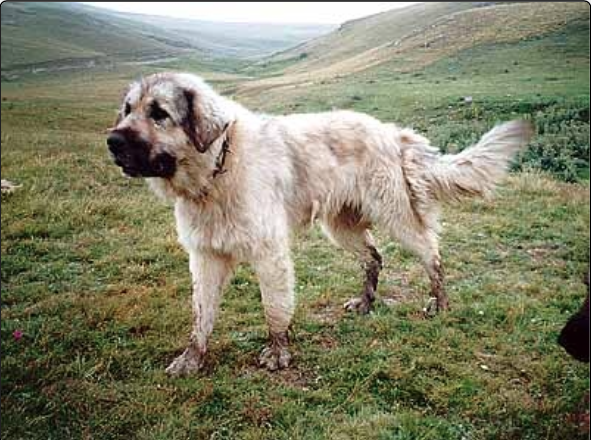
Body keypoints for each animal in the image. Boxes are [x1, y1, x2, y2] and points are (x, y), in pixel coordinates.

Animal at [106, 72, 532, 374]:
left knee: (431, 252)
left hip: (396, 216)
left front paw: (278, 353)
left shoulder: (269, 255)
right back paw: (366, 302)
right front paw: (192, 359)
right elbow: (201, 316)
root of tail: (391, 132)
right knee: (374, 257)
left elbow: (275, 309)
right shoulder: (205, 257)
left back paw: (439, 302)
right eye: (128, 109)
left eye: (159, 113)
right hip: (340, 226)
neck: (217, 169)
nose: (112, 141)